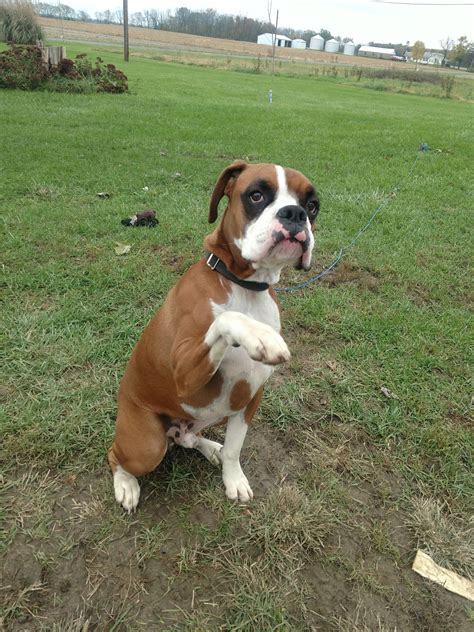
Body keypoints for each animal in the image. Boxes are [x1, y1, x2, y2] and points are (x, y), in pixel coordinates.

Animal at [109, 160, 320, 512]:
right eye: (257, 195)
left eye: (313, 205)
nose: (295, 213)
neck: (245, 287)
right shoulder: (184, 375)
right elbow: (225, 319)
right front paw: (259, 336)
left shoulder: (249, 398)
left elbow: (235, 447)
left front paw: (233, 478)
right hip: (146, 445)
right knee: (117, 455)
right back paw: (125, 484)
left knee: (188, 438)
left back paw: (211, 448)